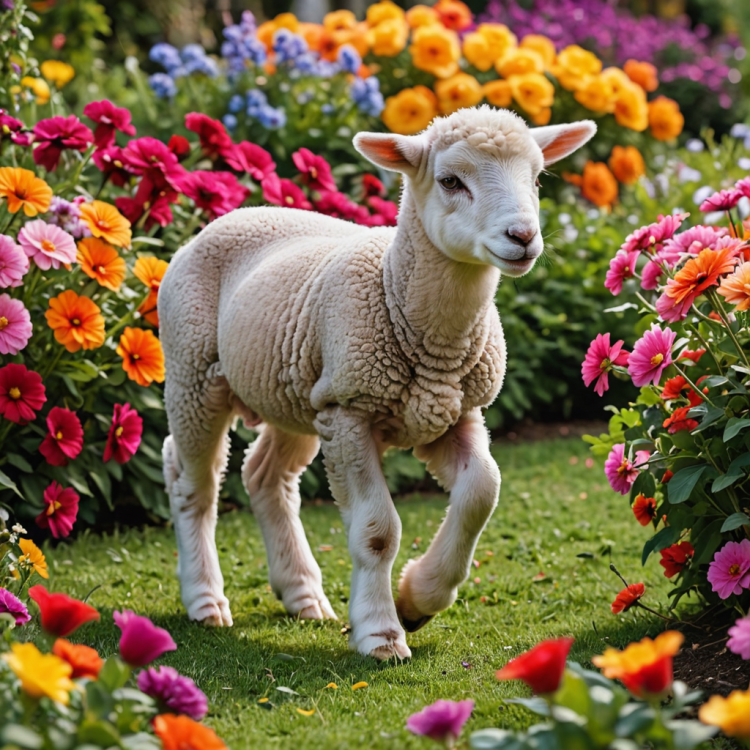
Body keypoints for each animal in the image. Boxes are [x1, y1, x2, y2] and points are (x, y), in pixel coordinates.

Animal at [159, 106, 595, 660]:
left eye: (537, 179)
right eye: (450, 181)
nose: (522, 236)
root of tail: (233, 215)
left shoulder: (452, 412)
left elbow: (483, 492)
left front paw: (418, 600)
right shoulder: (352, 412)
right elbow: (376, 531)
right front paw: (382, 633)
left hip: (298, 392)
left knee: (265, 476)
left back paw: (302, 595)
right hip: (195, 373)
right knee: (192, 482)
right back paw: (205, 600)